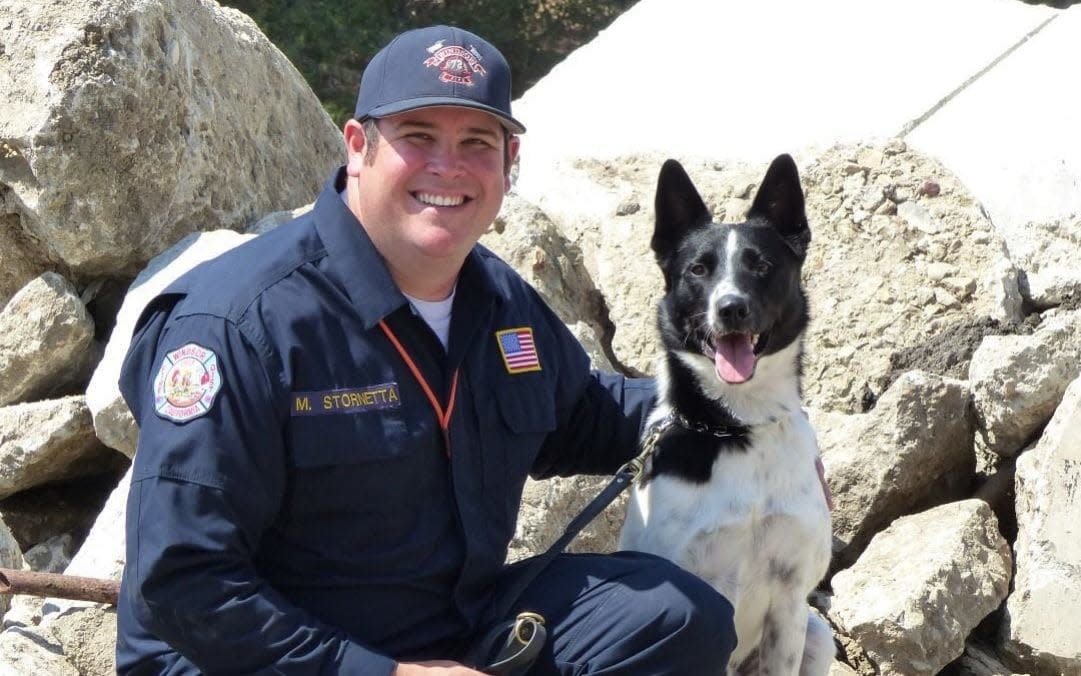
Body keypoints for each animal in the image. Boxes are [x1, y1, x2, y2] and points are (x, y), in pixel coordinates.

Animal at [622, 155, 830, 670]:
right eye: (698, 269)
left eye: (762, 266)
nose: (731, 308)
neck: (736, 428)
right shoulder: (698, 588)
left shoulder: (791, 598)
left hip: (819, 636)